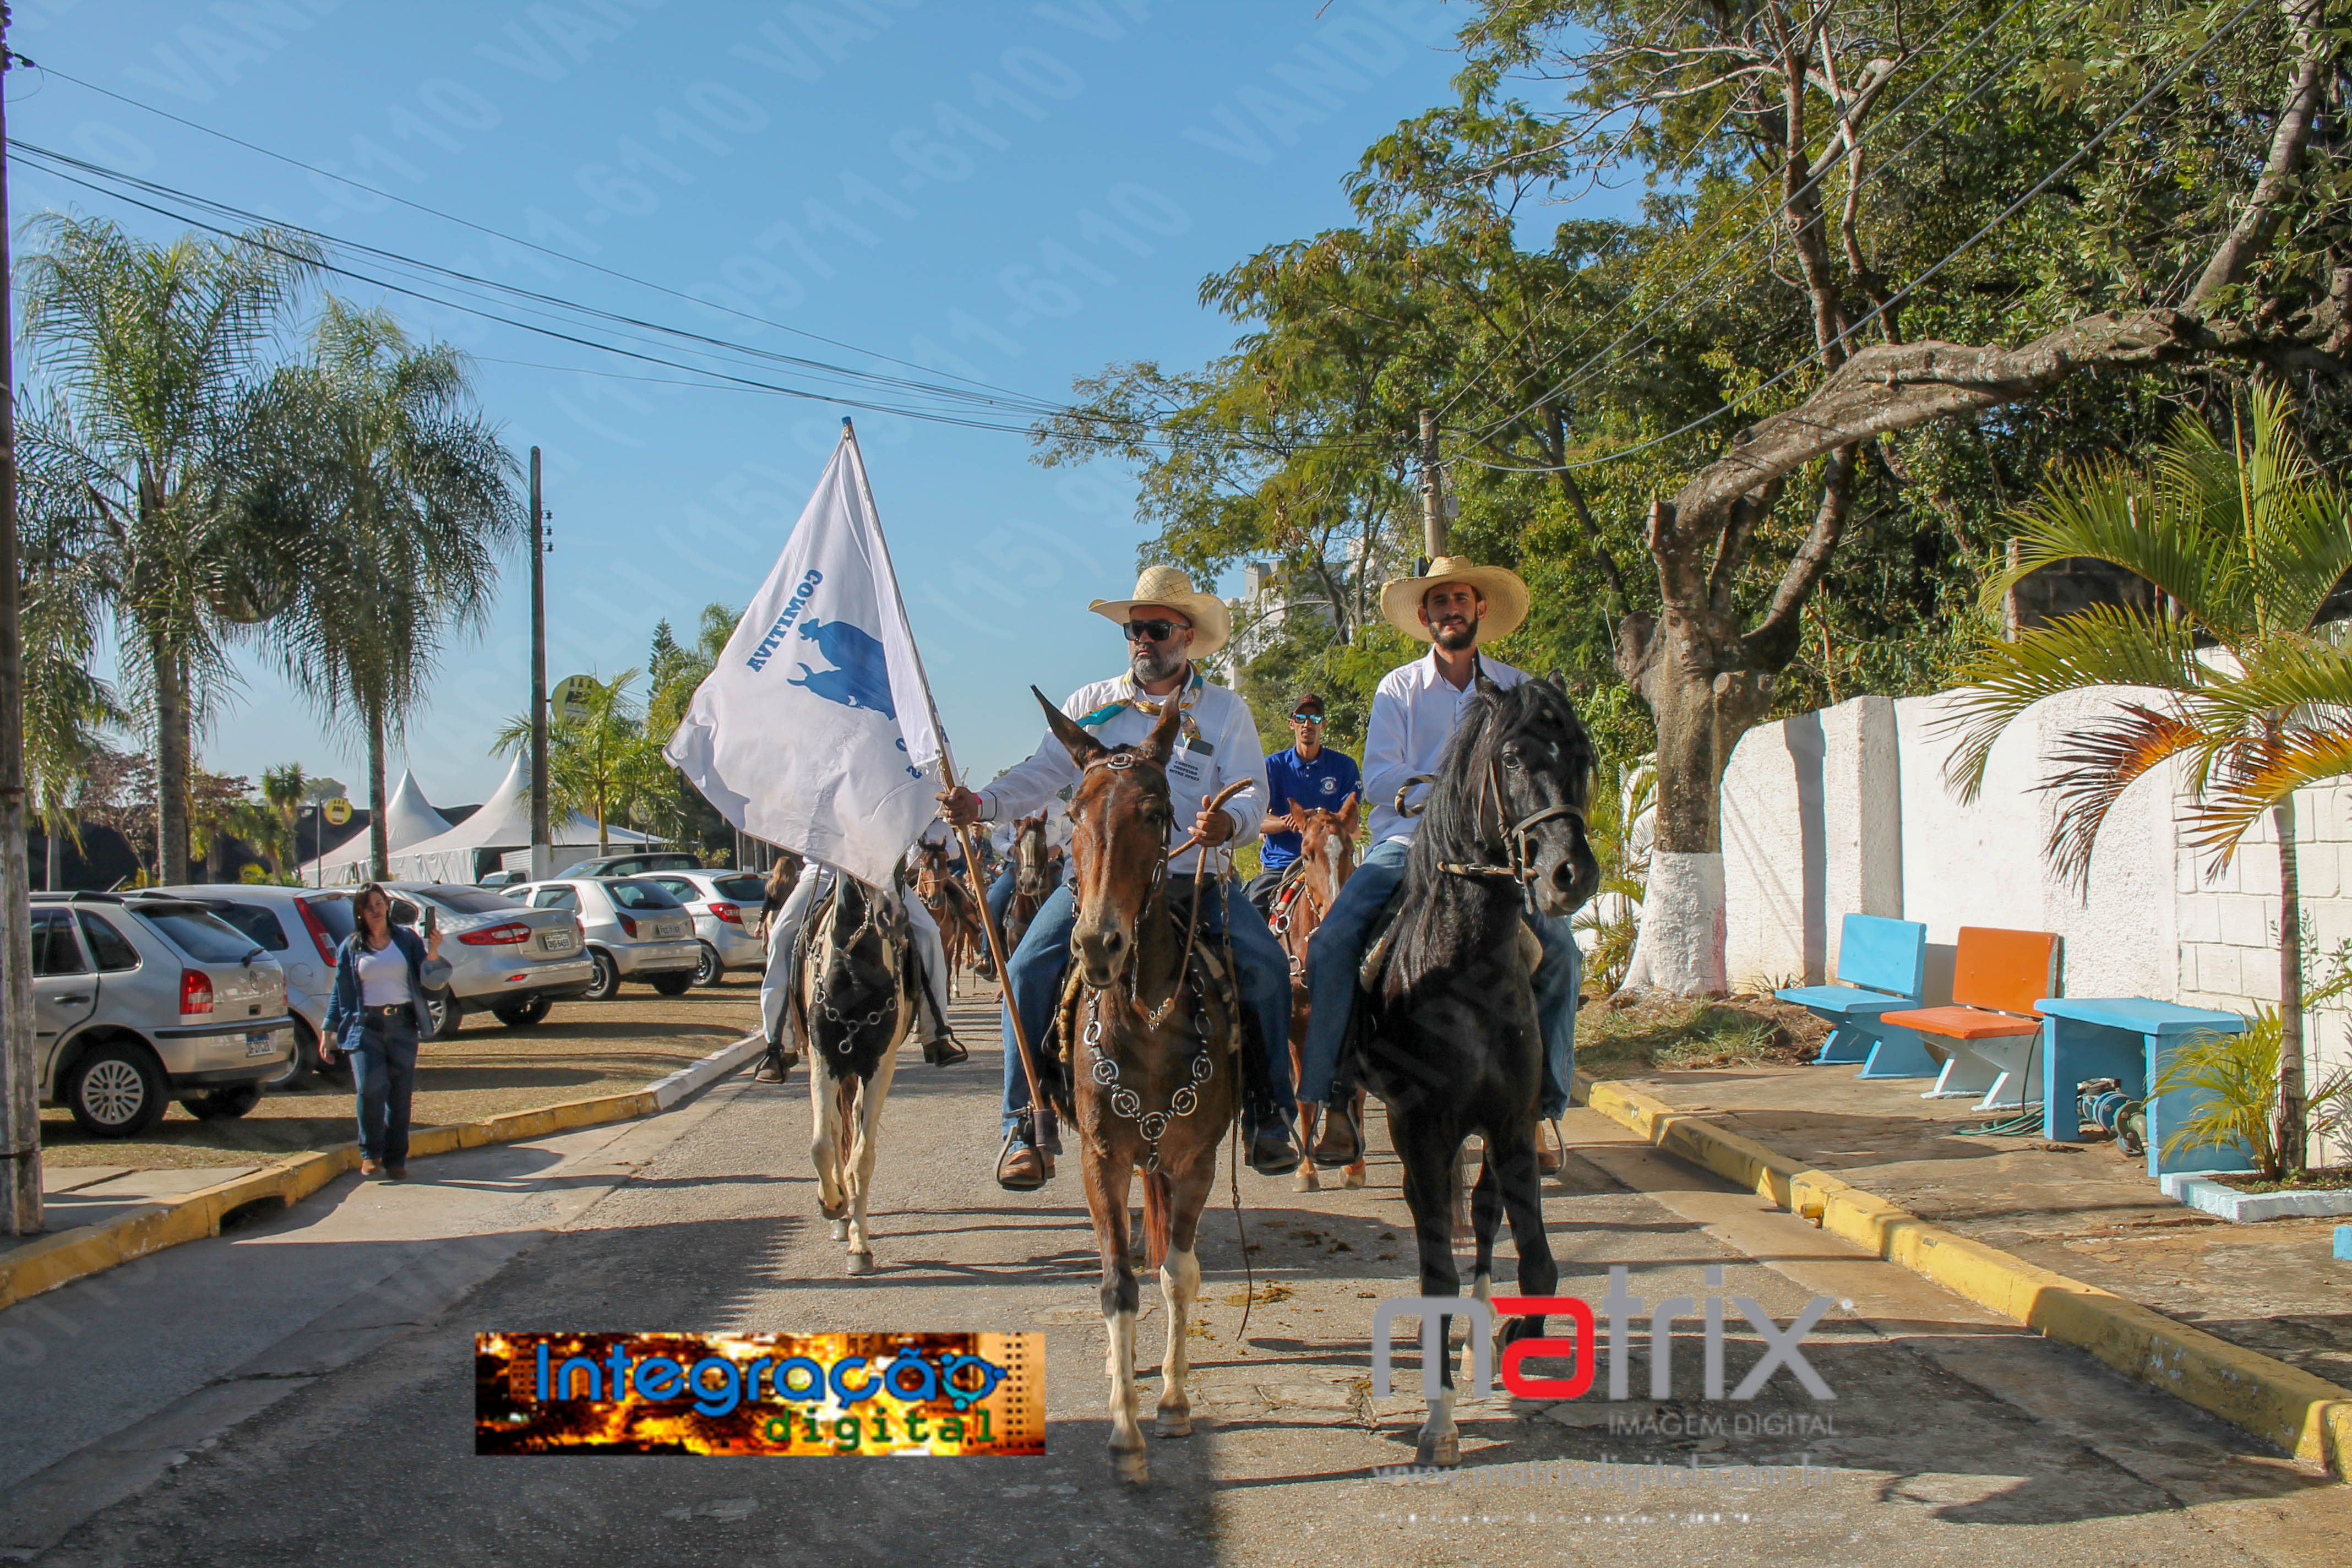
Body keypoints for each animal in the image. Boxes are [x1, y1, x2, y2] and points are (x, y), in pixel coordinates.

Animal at [794, 872, 920, 1276]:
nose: (893, 918)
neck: (854, 971)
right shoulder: (822, 1061)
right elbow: (821, 1145)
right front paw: (832, 1204)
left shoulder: (880, 1067)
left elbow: (863, 1156)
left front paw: (859, 1246)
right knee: (835, 1128)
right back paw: (838, 1207)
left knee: (850, 1123)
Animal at [1031, 688, 1240, 1487]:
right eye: (1074, 812)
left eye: (1154, 812)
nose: (1098, 943)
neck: (1147, 1022)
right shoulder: (1103, 1161)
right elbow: (1117, 1281)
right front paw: (1124, 1433)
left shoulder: (1195, 1161)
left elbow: (1179, 1274)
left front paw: (1176, 1405)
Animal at [1340, 672, 1598, 1468]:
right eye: (1512, 758)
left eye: (1583, 755)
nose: (1570, 875)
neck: (1466, 970)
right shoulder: (1422, 1134)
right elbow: (1435, 1273)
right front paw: (1438, 1420)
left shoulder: (1512, 1126)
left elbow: (1535, 1262)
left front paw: (1512, 1337)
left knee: (1483, 1217)